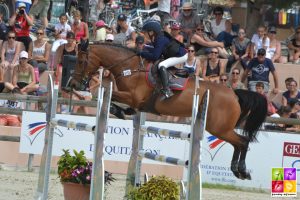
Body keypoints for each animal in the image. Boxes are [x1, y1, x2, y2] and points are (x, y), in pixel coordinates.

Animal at [72, 40, 268, 180]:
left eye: (81, 61)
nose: (73, 84)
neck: (130, 68)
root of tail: (234, 94)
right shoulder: (136, 101)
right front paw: (124, 111)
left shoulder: (133, 97)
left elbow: (106, 93)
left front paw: (118, 110)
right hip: (221, 128)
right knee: (238, 143)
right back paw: (237, 170)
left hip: (219, 128)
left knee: (243, 142)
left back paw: (242, 171)